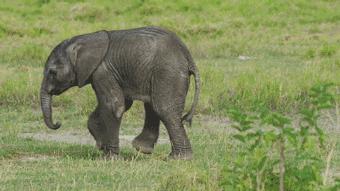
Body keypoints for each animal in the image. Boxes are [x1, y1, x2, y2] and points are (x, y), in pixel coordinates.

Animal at [39, 25, 199, 160]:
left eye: (52, 72)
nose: (58, 123)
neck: (84, 41)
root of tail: (187, 55)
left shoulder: (102, 71)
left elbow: (114, 106)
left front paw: (109, 158)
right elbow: (121, 104)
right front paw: (101, 145)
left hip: (168, 73)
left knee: (164, 109)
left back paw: (178, 158)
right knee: (153, 105)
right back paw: (144, 149)